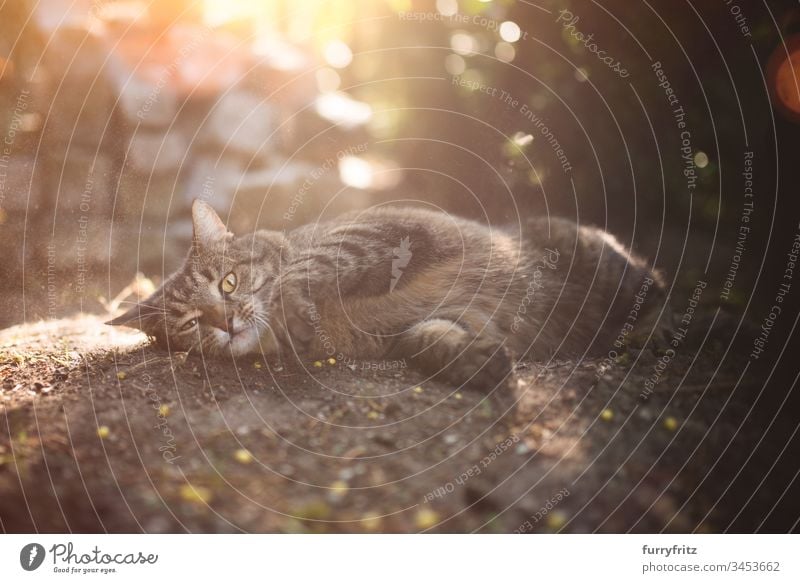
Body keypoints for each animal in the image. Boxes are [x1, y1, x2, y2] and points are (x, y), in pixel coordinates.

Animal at [109, 202, 664, 392]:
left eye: (227, 282)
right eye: (188, 325)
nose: (224, 324)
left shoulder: (384, 228)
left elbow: (302, 273)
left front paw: (294, 311)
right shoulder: (422, 330)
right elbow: (429, 339)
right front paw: (475, 362)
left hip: (608, 263)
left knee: (659, 291)